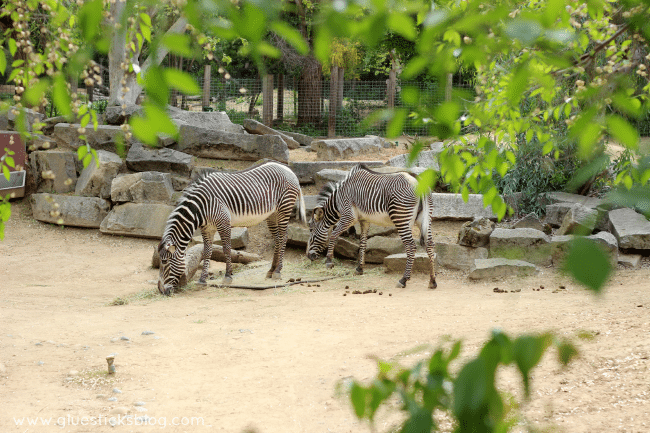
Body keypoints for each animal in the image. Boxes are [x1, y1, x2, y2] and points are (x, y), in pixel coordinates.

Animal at [159, 160, 306, 296]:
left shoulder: (223, 223)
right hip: (272, 214)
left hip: (284, 209)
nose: (161, 291)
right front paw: (202, 279)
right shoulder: (207, 228)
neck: (201, 207)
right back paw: (271, 270)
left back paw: (278, 271)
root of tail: (288, 169)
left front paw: (228, 276)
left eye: (165, 262)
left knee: (283, 237)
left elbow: (227, 249)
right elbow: (207, 252)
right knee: (277, 239)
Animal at [306, 164, 436, 288]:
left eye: (311, 229)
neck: (338, 200)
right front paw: (359, 269)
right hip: (425, 218)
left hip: (401, 218)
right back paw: (432, 281)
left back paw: (403, 280)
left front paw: (329, 261)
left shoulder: (349, 217)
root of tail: (417, 179)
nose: (308, 256)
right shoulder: (364, 220)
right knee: (429, 244)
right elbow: (363, 243)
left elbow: (333, 234)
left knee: (411, 246)